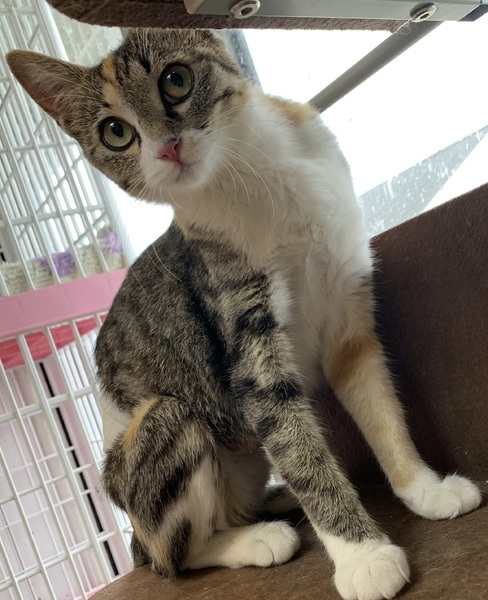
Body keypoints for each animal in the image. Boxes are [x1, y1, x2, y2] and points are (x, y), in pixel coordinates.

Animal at [7, 29, 481, 600]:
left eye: (177, 80)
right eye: (116, 132)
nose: (166, 146)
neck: (253, 178)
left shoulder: (349, 307)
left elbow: (380, 407)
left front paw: (424, 490)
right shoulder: (244, 332)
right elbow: (295, 443)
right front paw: (364, 558)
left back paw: (274, 500)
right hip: (166, 423)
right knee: (175, 556)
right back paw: (256, 539)